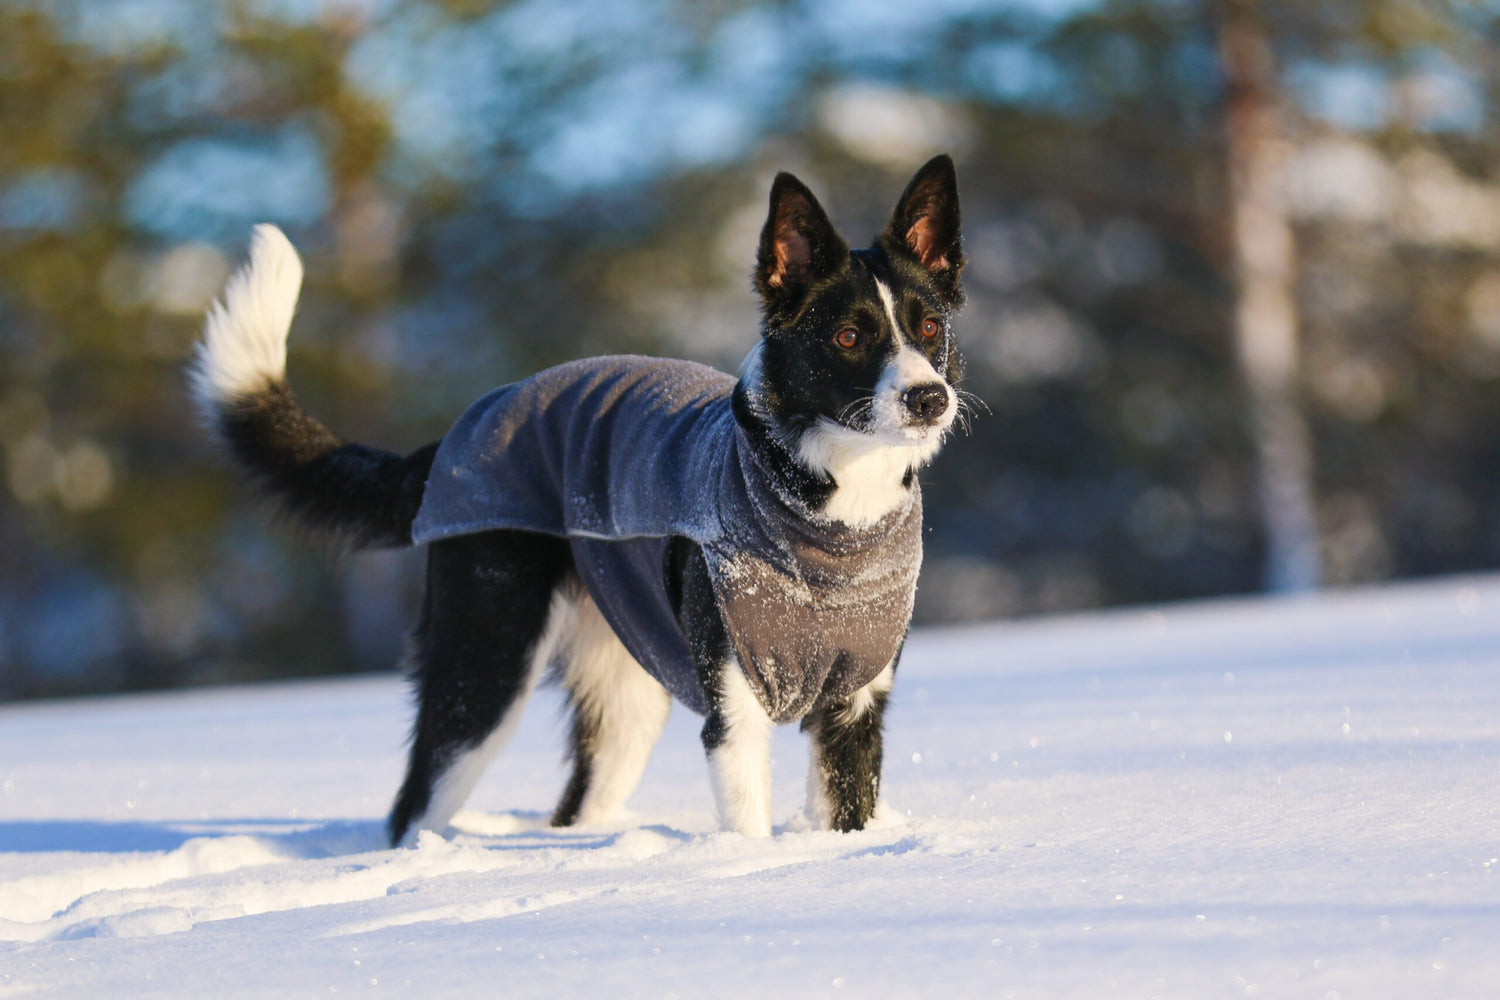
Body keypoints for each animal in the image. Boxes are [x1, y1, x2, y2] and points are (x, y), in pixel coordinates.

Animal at [193, 154, 966, 845]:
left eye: (929, 328)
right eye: (848, 336)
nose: (931, 398)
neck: (830, 513)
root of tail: (460, 431)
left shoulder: (856, 705)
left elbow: (847, 812)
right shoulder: (735, 709)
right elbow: (748, 826)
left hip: (624, 690)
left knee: (574, 807)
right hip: (485, 660)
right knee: (415, 806)